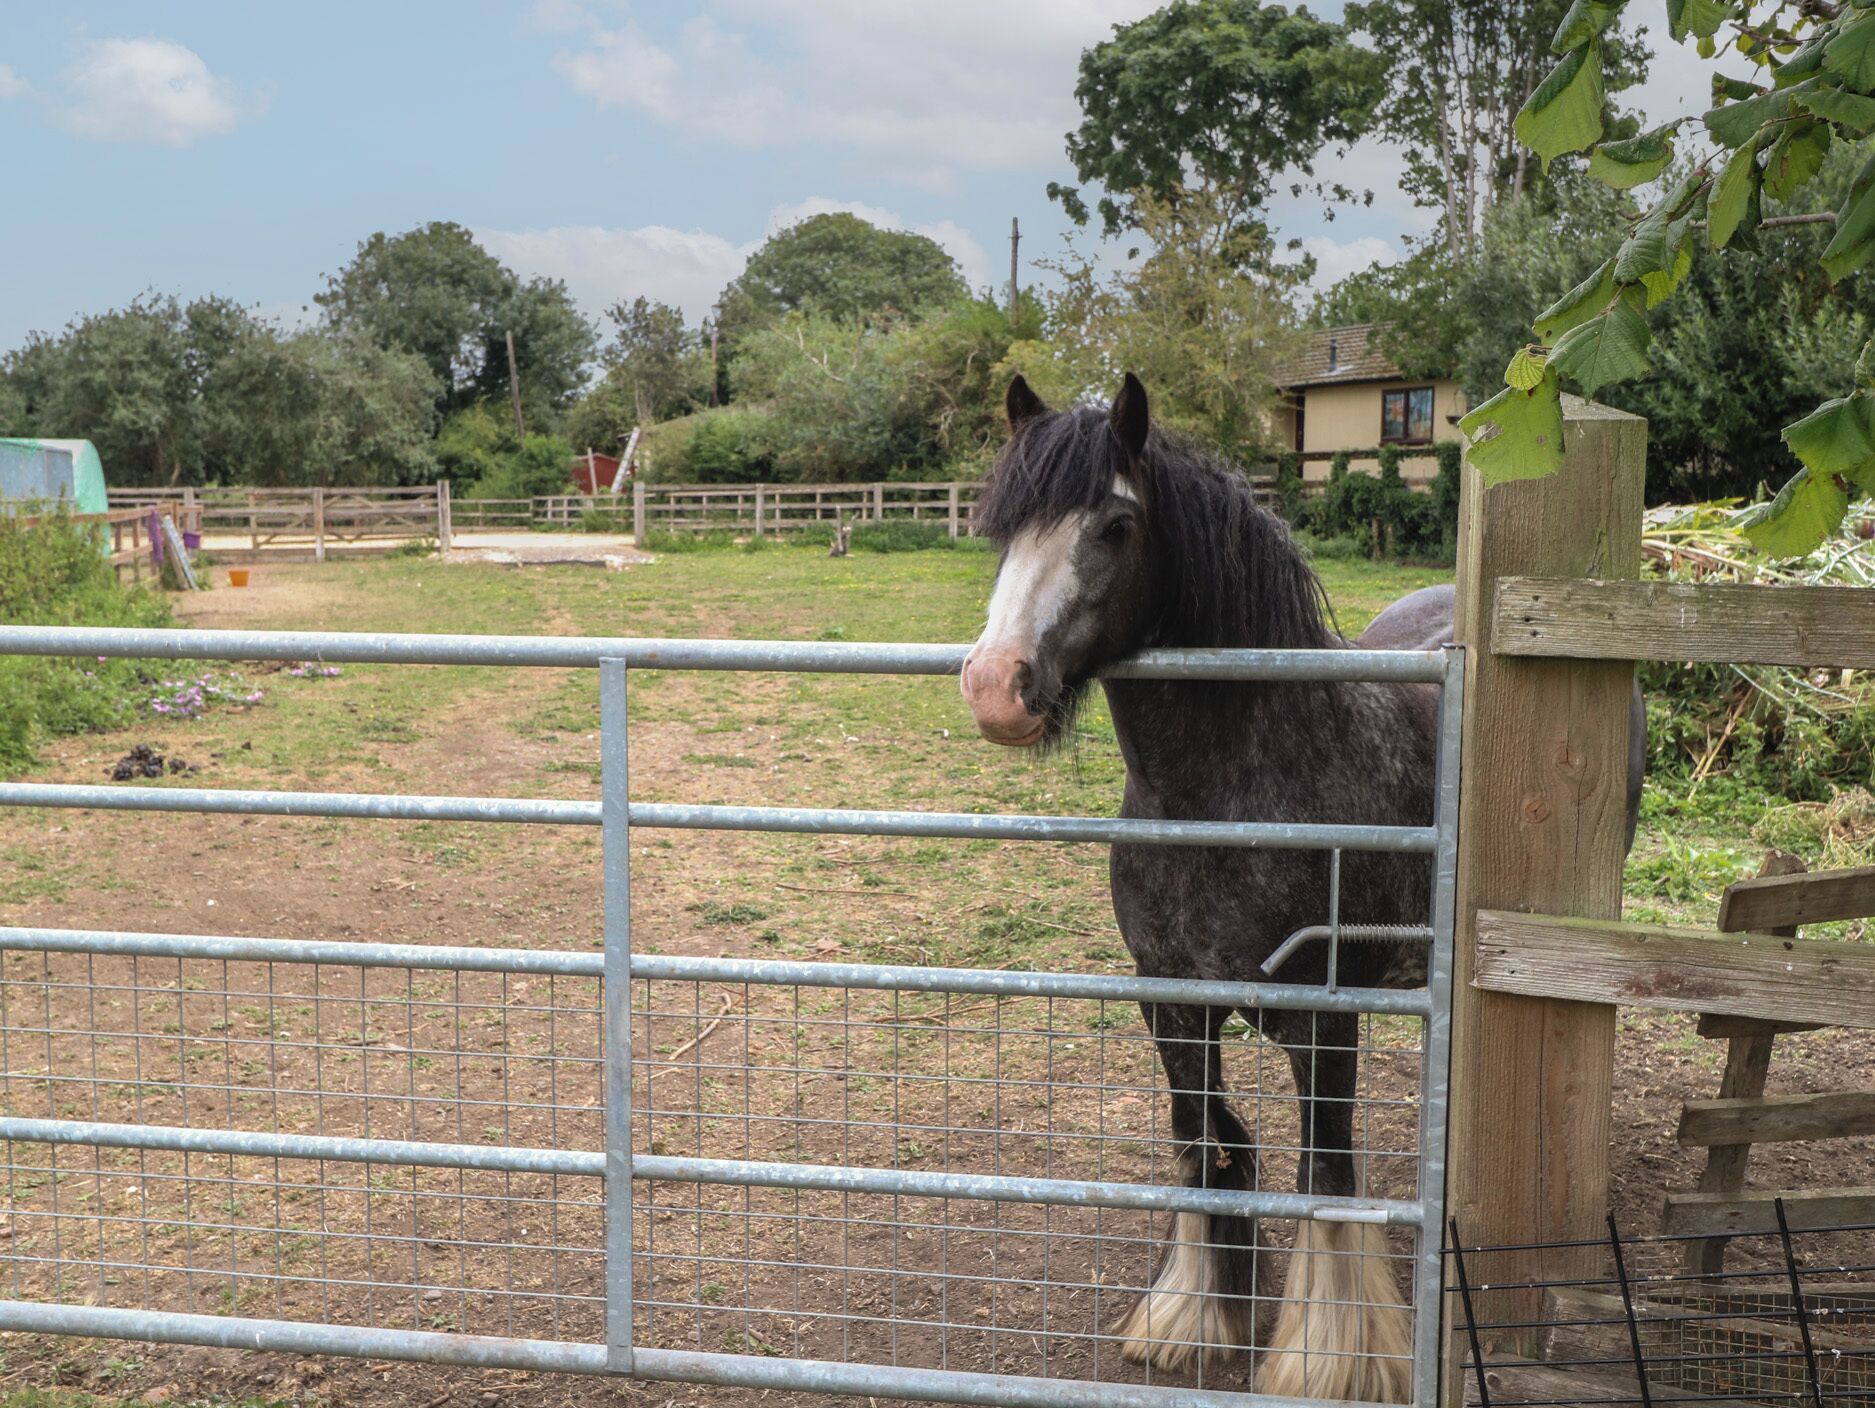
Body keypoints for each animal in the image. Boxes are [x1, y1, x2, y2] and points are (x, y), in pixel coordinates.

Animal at [959, 373, 1644, 1401]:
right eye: (1001, 526)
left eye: (1115, 525)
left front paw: (1330, 1361)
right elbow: (1204, 1141)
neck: (1224, 793)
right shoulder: (1172, 1002)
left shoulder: (1322, 1020)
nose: (995, 687)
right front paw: (1193, 1318)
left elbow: (1325, 1175)